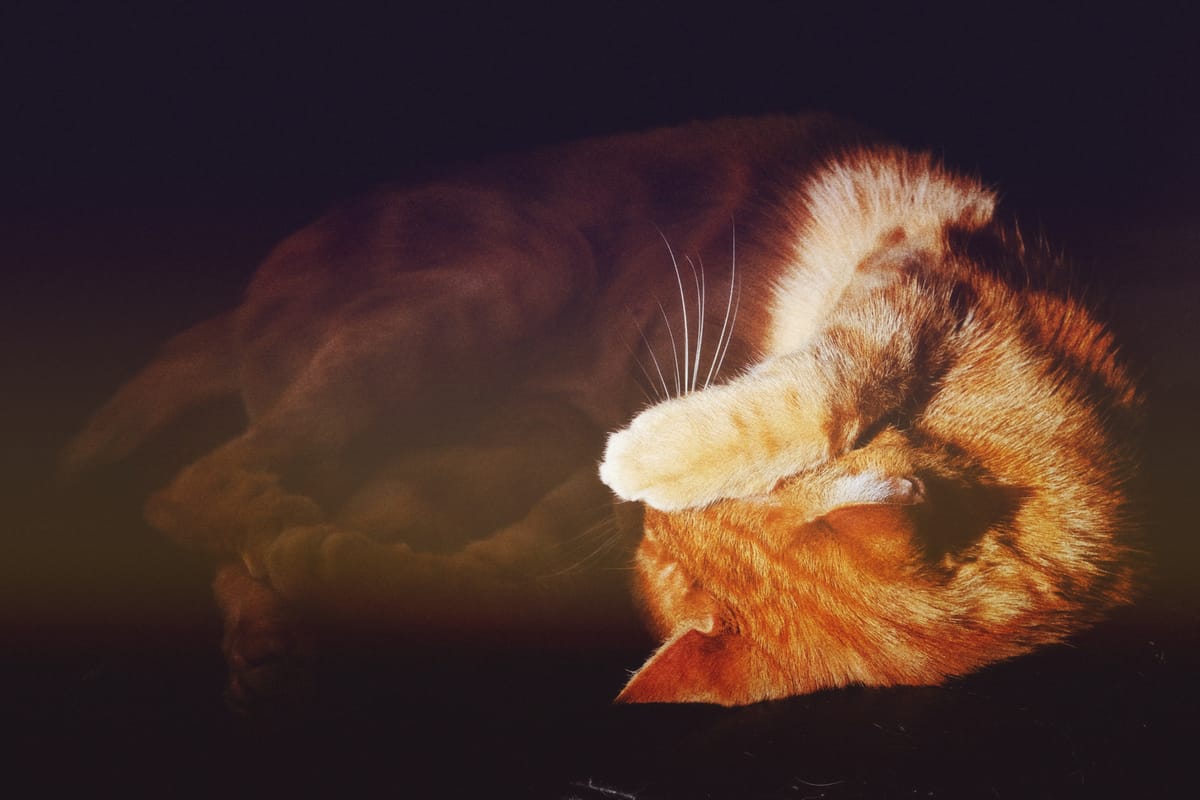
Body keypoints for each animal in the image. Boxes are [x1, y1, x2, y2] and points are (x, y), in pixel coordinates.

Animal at [68, 113, 1142, 705]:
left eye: (660, 549)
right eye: (681, 521)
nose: (621, 498)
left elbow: (480, 586)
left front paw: (335, 570)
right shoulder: (920, 281)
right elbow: (830, 386)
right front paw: (657, 447)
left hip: (493, 439)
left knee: (232, 495)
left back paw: (274, 621)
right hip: (508, 276)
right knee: (206, 479)